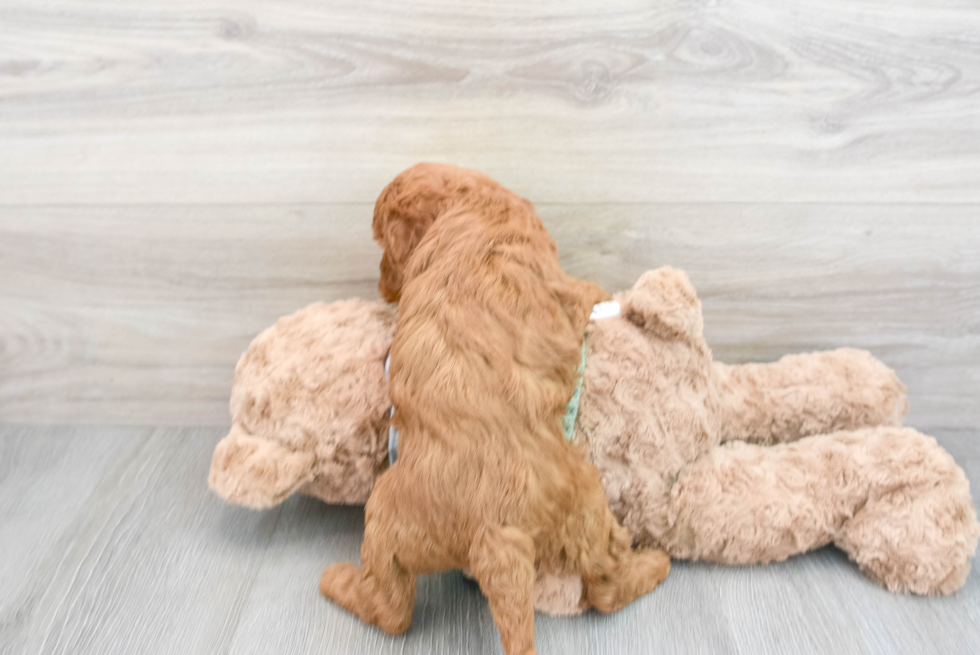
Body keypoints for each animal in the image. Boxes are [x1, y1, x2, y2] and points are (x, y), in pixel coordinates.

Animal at [318, 165, 668, 655]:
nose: (385, 287)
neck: (470, 202)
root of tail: (492, 533)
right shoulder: (564, 285)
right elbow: (586, 290)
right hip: (586, 503)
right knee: (605, 585)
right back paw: (655, 564)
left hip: (388, 523)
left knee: (394, 608)